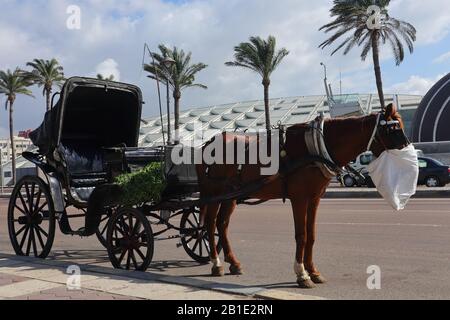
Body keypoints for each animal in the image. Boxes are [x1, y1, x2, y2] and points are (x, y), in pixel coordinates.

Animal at [196, 104, 408, 288]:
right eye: (393, 128)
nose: (408, 149)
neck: (315, 147)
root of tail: (208, 143)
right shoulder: (299, 198)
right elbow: (302, 235)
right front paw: (302, 274)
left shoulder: (314, 198)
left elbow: (311, 235)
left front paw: (313, 271)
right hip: (215, 193)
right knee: (210, 224)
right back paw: (216, 263)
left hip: (230, 196)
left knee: (222, 225)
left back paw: (233, 262)